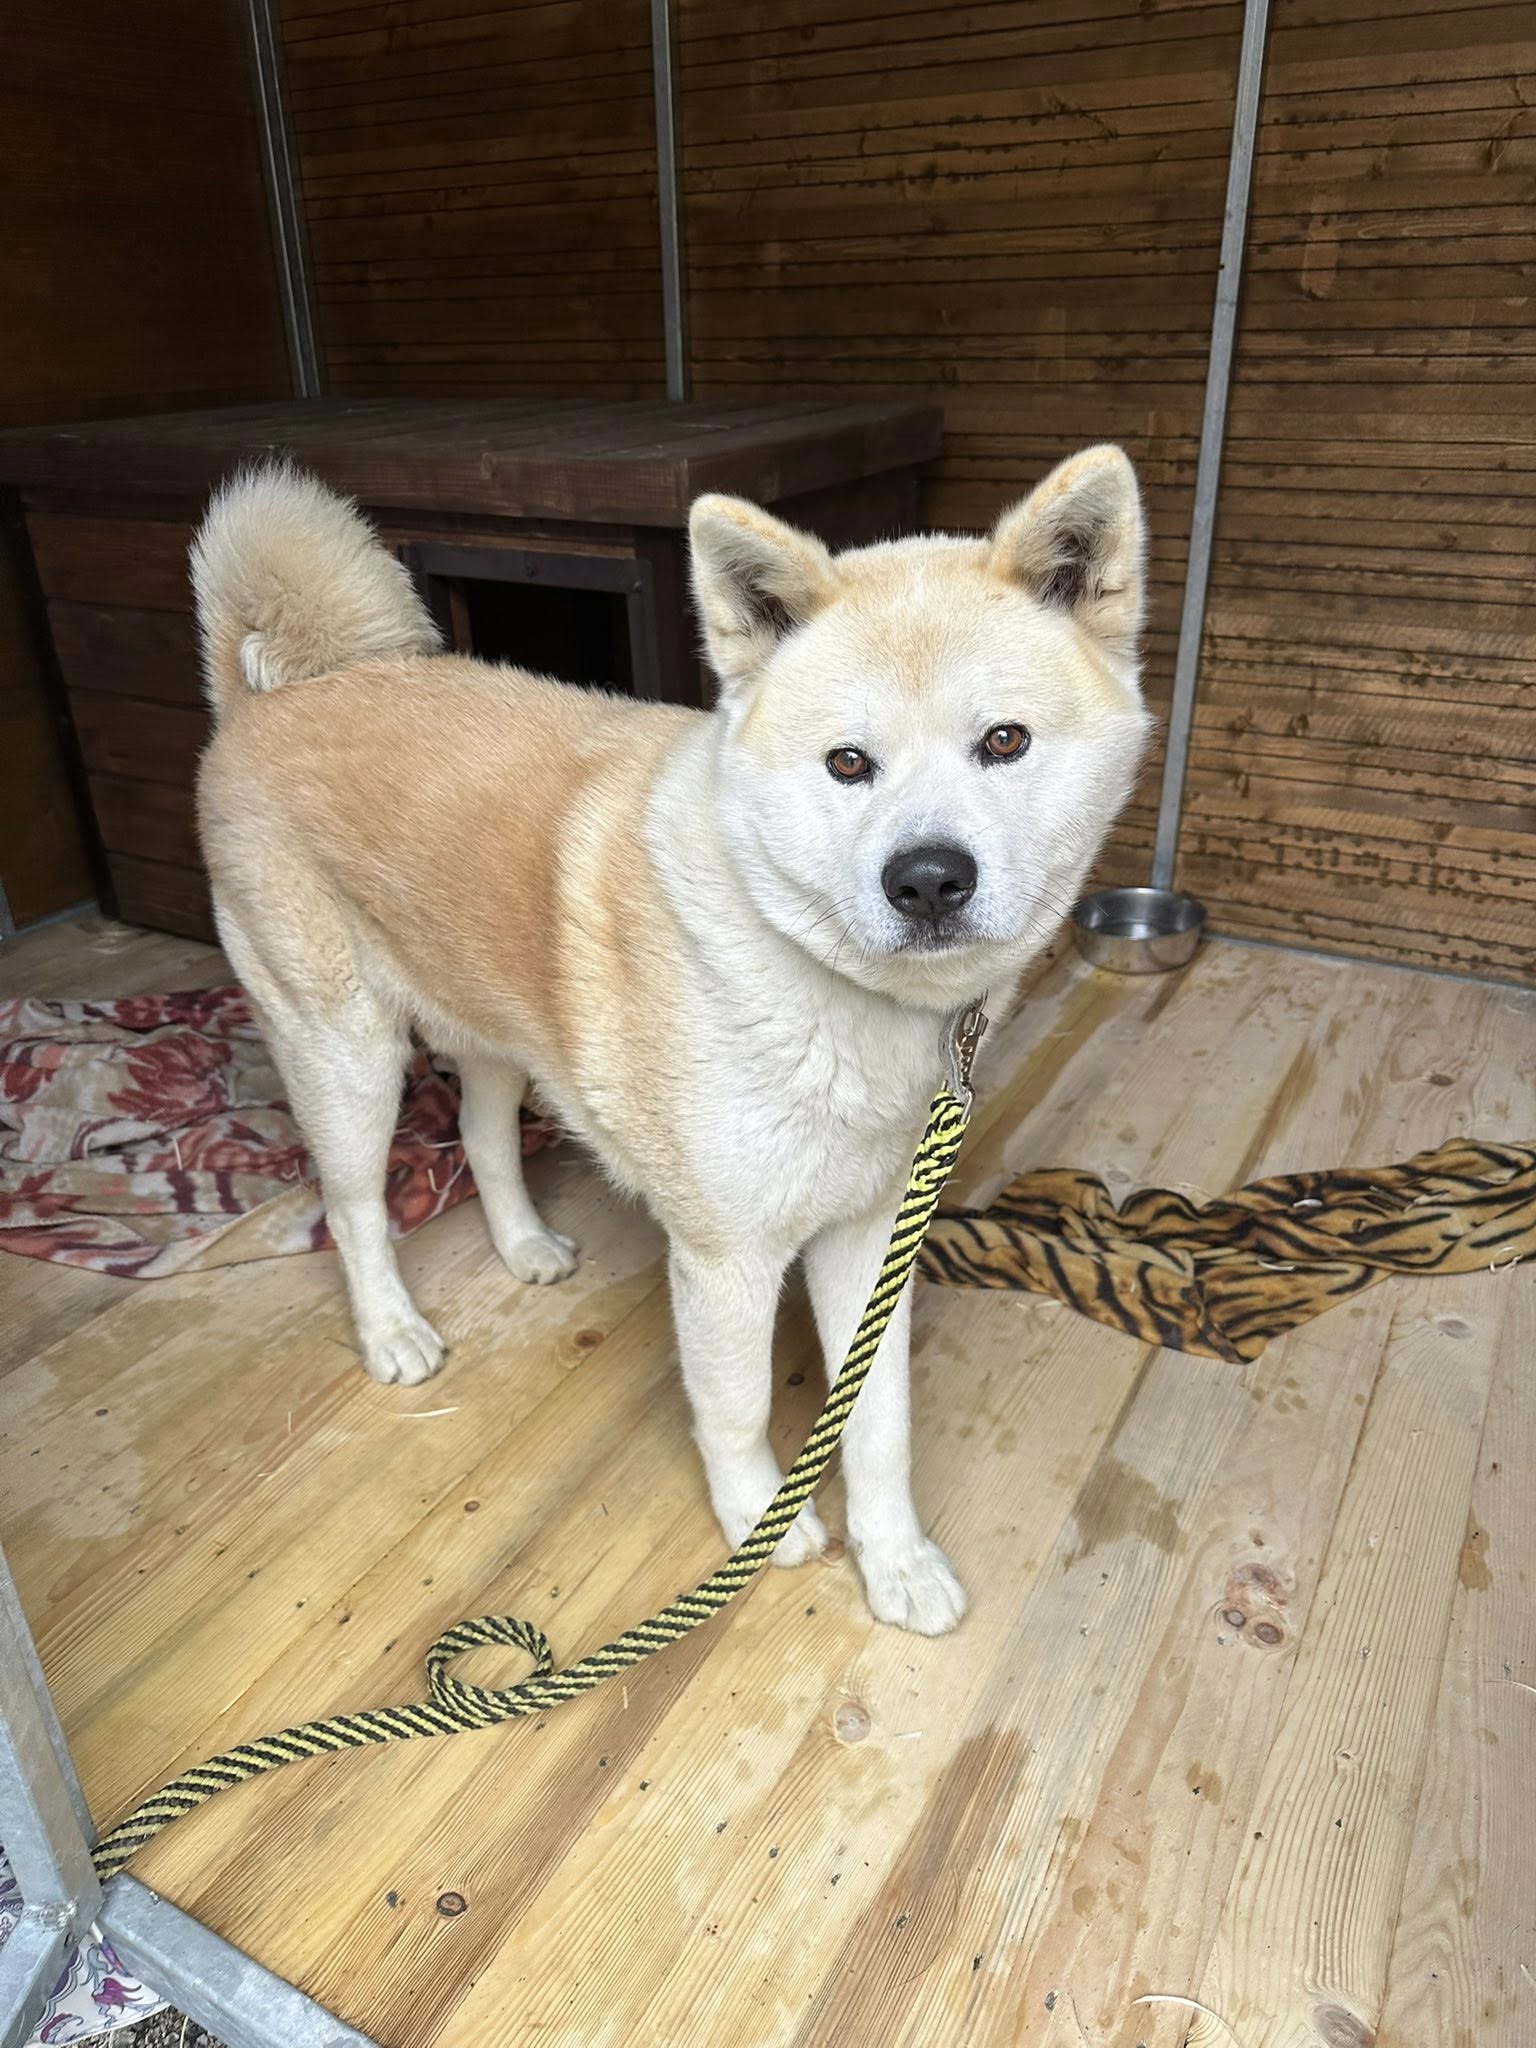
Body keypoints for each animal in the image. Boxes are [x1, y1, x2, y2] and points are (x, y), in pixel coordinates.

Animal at [191, 448, 1149, 1634]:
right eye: (847, 764)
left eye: (1003, 742)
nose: (928, 879)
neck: (826, 983)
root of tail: (275, 695)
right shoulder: (726, 1261)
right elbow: (737, 1409)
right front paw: (757, 1522)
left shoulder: (869, 1236)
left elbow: (878, 1425)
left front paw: (896, 1561)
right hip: (349, 1058)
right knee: (356, 1206)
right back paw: (392, 1332)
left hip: (496, 1032)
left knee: (484, 1134)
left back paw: (524, 1245)